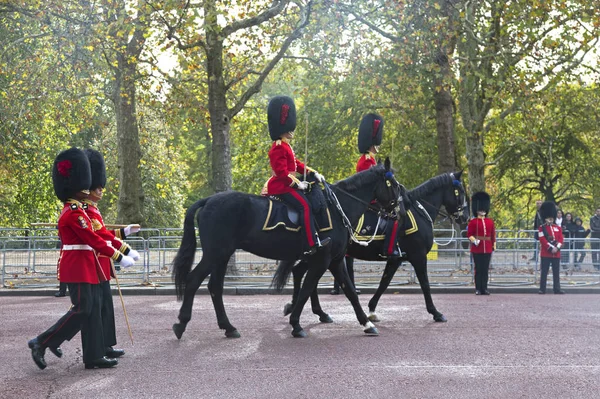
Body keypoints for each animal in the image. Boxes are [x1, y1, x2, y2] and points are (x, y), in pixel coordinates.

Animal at [171, 159, 400, 340]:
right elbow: (308, 288)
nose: (398, 211)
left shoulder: (334, 260)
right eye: (395, 185)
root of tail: (209, 199)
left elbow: (350, 291)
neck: (337, 208)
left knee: (215, 287)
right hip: (215, 253)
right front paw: (296, 323)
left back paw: (228, 327)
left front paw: (367, 323)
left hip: (223, 255)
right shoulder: (323, 259)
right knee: (194, 280)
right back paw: (181, 324)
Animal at [276, 172, 468, 324]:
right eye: (461, 192)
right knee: (305, 275)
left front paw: (372, 310)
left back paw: (304, 309)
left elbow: (384, 283)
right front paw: (435, 312)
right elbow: (425, 285)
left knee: (300, 272)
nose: (465, 217)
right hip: (323, 255)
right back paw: (309, 310)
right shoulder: (418, 256)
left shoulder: (396, 258)